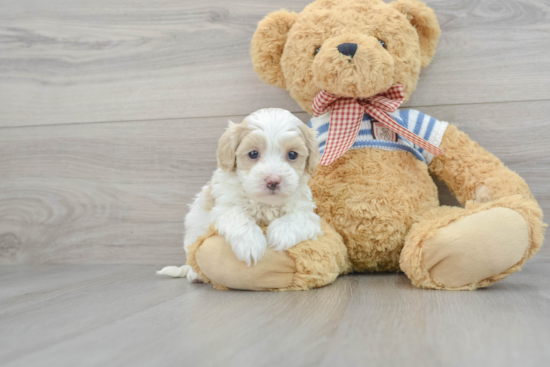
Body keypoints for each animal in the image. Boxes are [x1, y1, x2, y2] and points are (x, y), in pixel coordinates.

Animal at [157, 108, 324, 284]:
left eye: (292, 154)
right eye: (253, 154)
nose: (273, 181)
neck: (265, 203)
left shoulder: (308, 212)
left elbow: (299, 218)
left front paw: (280, 234)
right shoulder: (223, 207)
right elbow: (237, 215)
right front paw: (251, 244)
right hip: (193, 232)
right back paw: (194, 274)